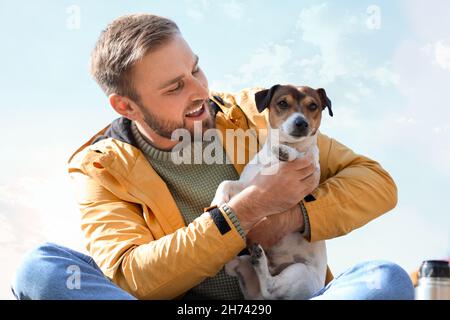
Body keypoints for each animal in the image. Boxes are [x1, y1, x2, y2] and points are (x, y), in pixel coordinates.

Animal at [211, 84, 334, 298]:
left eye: (313, 106)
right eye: (283, 103)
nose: (301, 123)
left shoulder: (307, 182)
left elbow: (302, 155)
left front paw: (286, 152)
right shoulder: (248, 185)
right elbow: (225, 183)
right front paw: (217, 202)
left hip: (300, 272)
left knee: (270, 287)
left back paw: (260, 261)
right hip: (246, 269)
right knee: (235, 268)